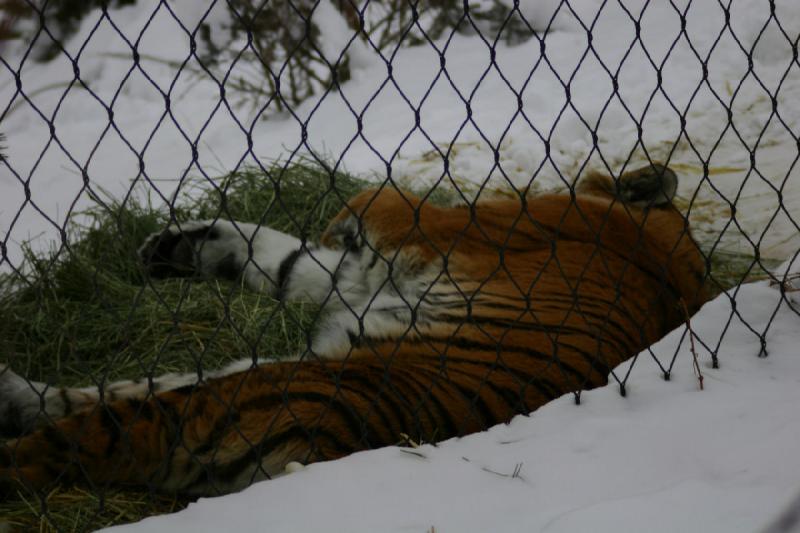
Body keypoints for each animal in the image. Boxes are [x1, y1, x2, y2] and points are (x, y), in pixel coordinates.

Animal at [0, 162, 708, 494]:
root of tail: (330, 447)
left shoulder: (428, 227)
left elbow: (369, 201)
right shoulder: (357, 279)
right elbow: (281, 258)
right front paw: (172, 247)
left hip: (216, 397)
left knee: (68, 438)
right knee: (88, 397)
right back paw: (13, 392)